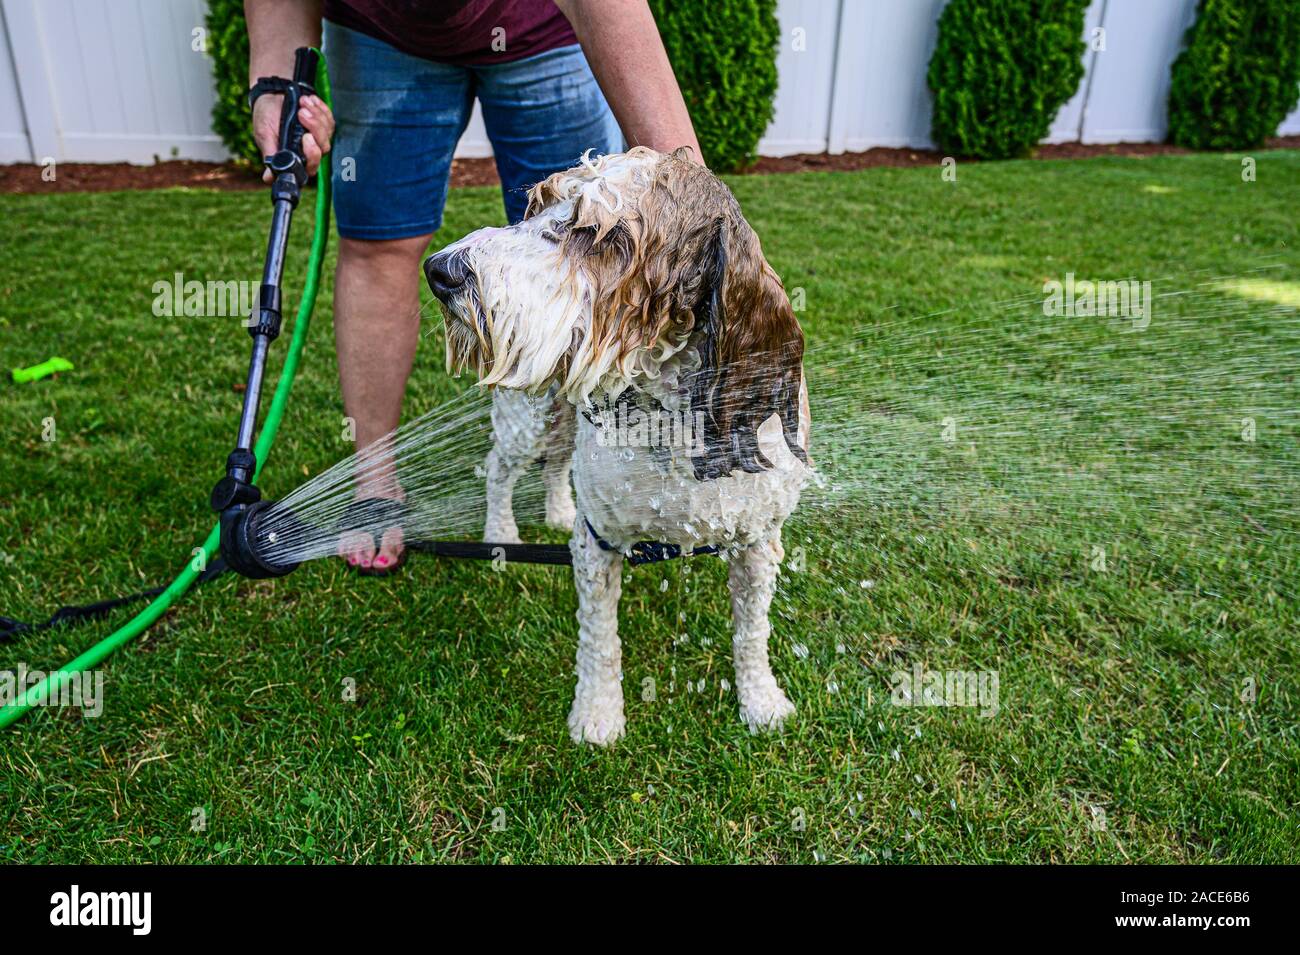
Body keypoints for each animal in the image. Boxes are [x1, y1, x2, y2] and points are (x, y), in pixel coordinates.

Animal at [428, 149, 811, 748]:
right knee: (498, 470)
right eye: (535, 206)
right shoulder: (600, 542)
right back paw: (501, 535)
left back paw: (558, 512)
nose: (440, 270)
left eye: (601, 235)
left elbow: (752, 631)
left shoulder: (757, 540)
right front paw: (597, 714)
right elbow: (599, 641)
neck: (670, 419)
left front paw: (761, 701)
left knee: (558, 463)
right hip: (528, 421)